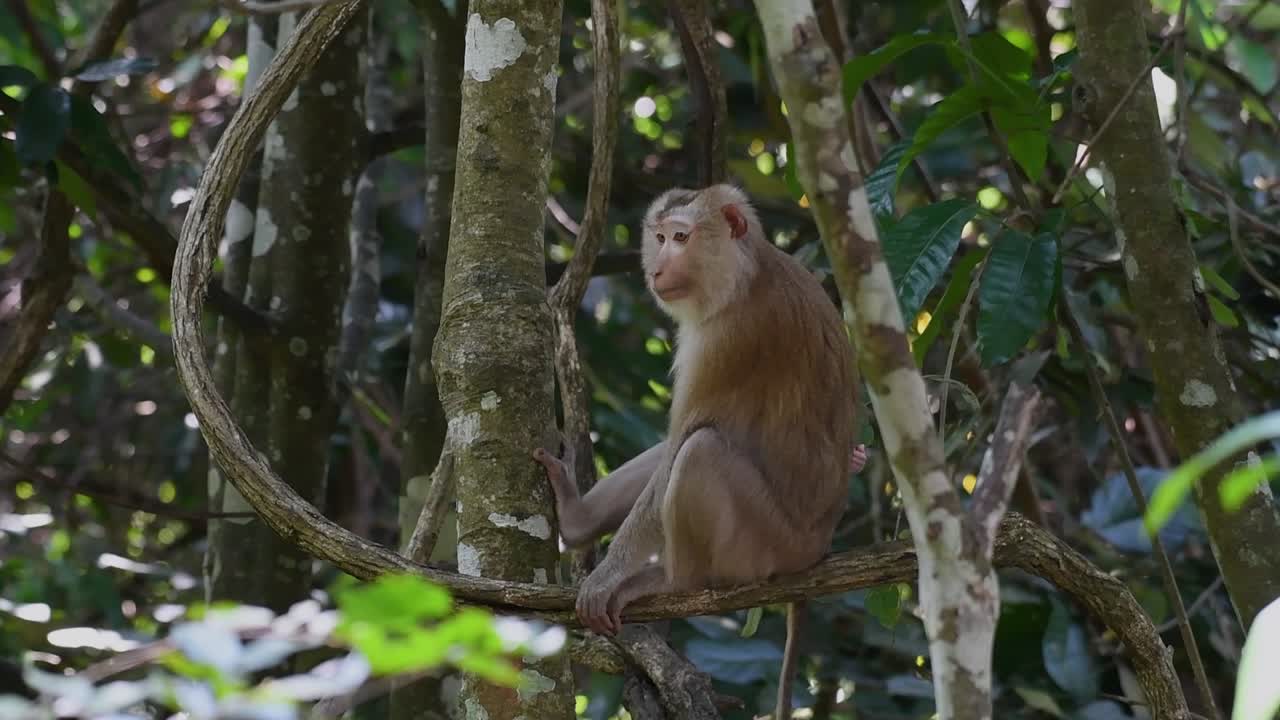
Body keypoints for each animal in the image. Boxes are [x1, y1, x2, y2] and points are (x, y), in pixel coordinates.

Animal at [533, 184, 863, 719]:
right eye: (660, 238)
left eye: (681, 238)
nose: (657, 269)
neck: (745, 271)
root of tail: (818, 547)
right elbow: (670, 447)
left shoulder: (728, 339)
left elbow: (684, 439)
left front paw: (606, 576)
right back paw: (577, 518)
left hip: (766, 544)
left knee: (698, 451)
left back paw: (674, 581)